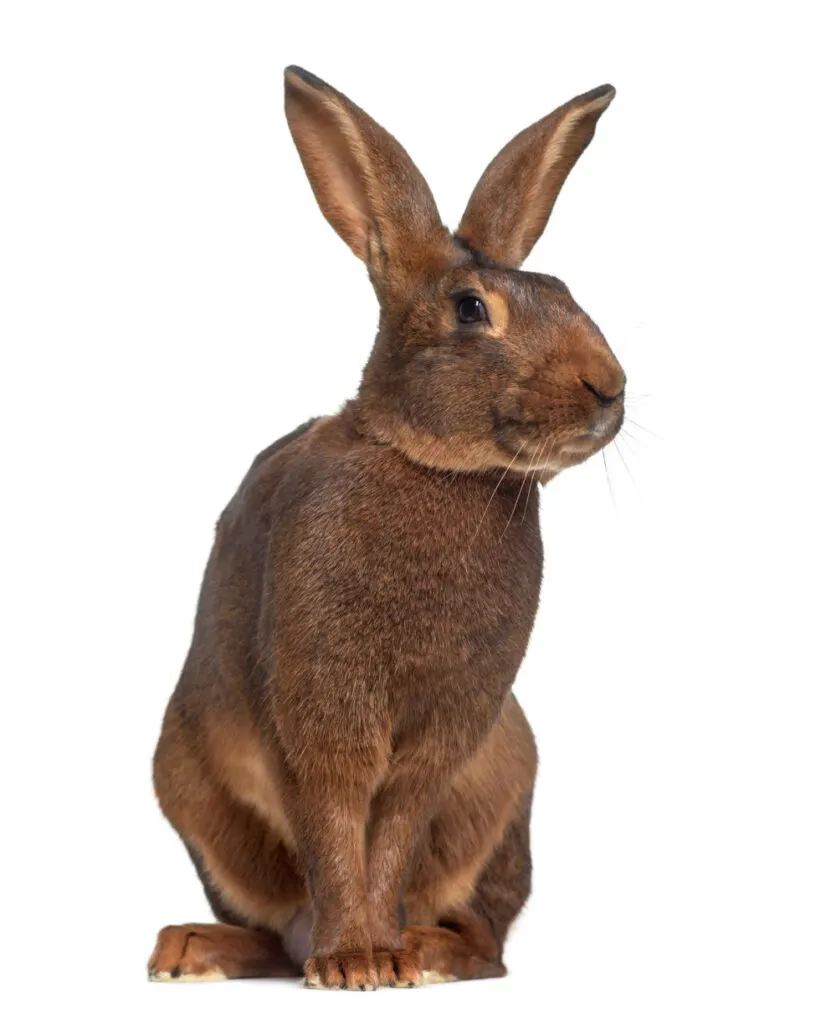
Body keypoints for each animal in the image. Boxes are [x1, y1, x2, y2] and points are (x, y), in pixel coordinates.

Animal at [148, 66, 618, 991]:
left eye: (566, 292)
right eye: (471, 310)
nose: (608, 387)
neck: (435, 465)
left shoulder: (447, 732)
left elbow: (393, 826)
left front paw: (380, 958)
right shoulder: (316, 710)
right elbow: (335, 821)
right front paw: (351, 963)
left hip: (506, 777)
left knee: (488, 938)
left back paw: (427, 948)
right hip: (192, 788)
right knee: (267, 924)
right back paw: (196, 950)